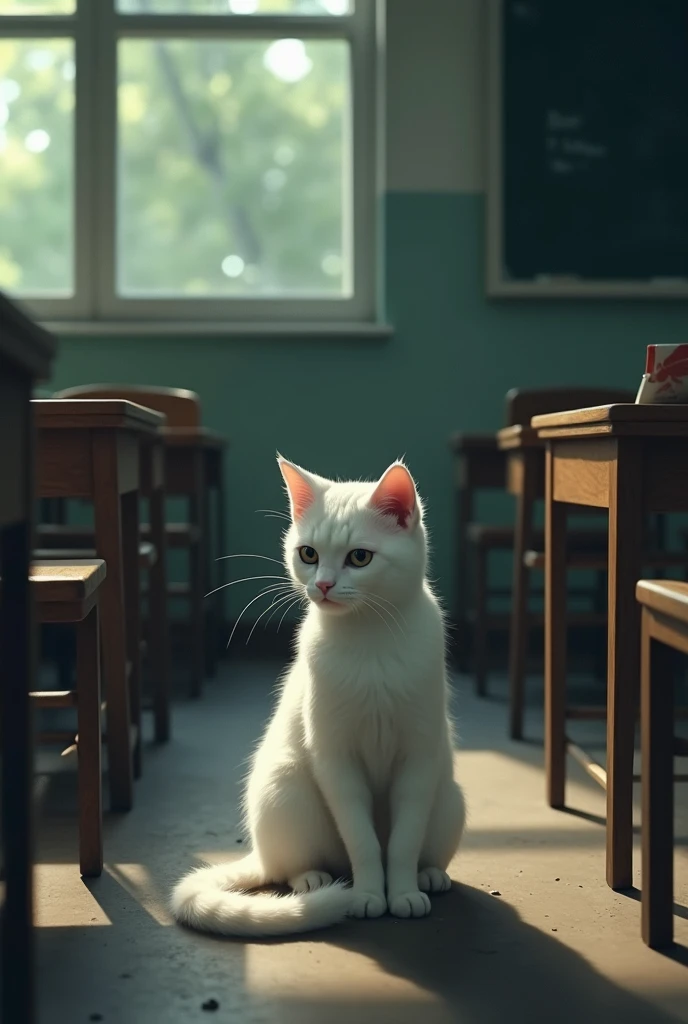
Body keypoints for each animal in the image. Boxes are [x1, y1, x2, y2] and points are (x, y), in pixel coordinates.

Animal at [168, 456, 464, 937]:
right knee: (289, 867)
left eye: (359, 557)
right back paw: (314, 880)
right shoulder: (335, 758)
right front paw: (368, 894)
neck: (368, 639)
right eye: (308, 554)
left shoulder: (418, 758)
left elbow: (401, 843)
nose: (322, 584)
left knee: (423, 846)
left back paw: (429, 875)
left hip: (448, 797)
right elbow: (363, 841)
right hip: (285, 787)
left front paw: (400, 892)